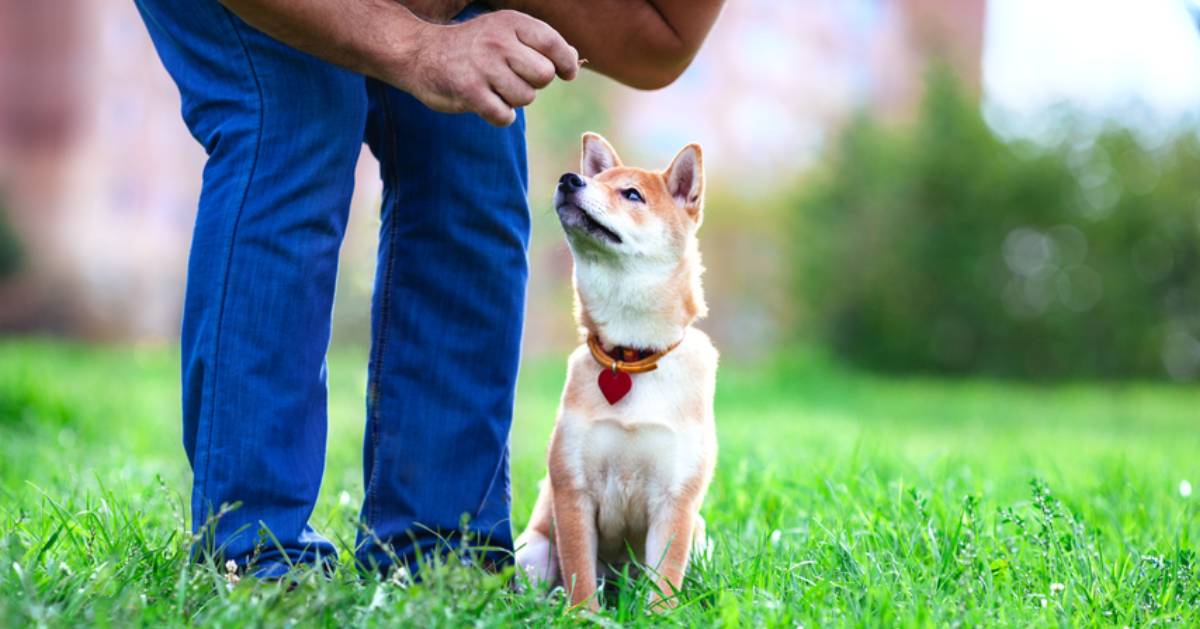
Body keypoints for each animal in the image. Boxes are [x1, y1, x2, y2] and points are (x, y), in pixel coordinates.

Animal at [511, 132, 715, 609]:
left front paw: (661, 615)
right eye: (595, 179)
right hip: (532, 548)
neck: (631, 354)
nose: (569, 179)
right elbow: (580, 572)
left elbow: (665, 580)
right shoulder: (572, 489)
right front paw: (583, 614)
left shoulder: (676, 499)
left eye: (632, 194)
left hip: (701, 538)